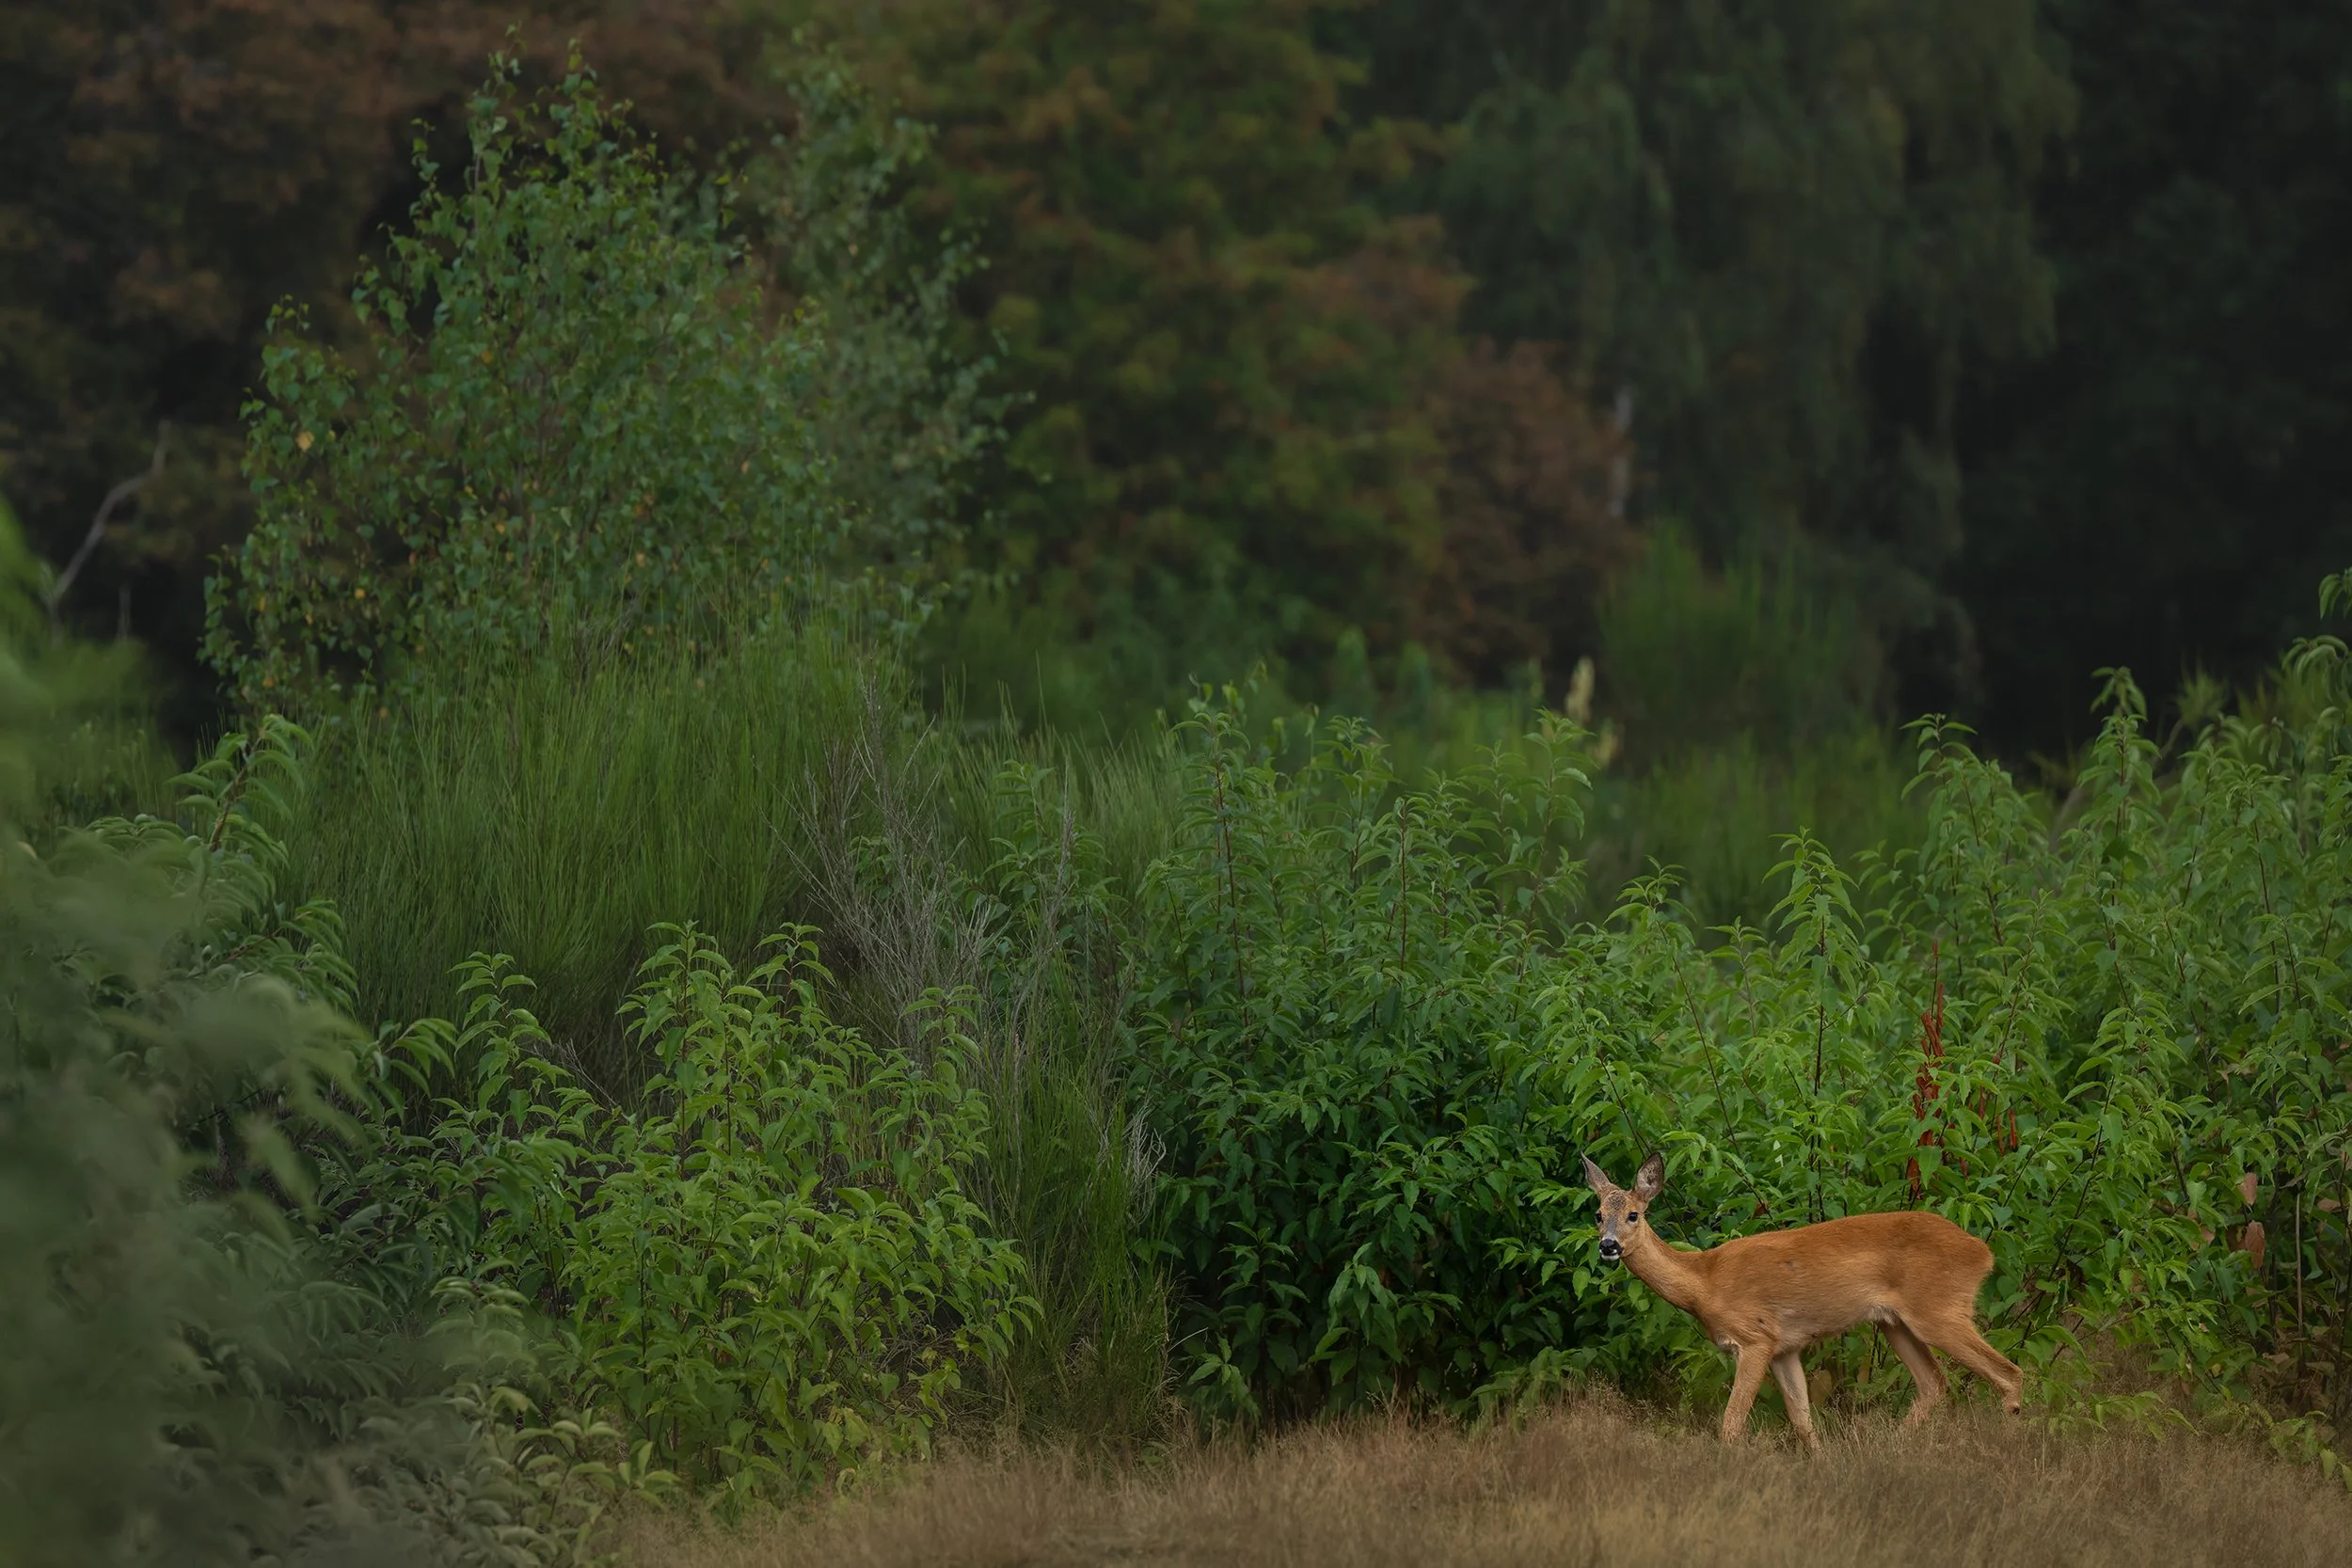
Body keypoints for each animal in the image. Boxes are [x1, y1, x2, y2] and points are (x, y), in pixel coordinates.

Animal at [1582, 1153, 2024, 1451]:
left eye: (1635, 1214)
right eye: (1599, 1214)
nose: (1608, 1246)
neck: (1704, 1282)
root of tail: (1983, 1253)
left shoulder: (1756, 1338)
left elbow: (1732, 1421)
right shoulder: (1785, 1348)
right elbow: (1803, 1422)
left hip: (1939, 1310)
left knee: (2009, 1372)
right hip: (1894, 1321)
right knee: (1935, 1382)